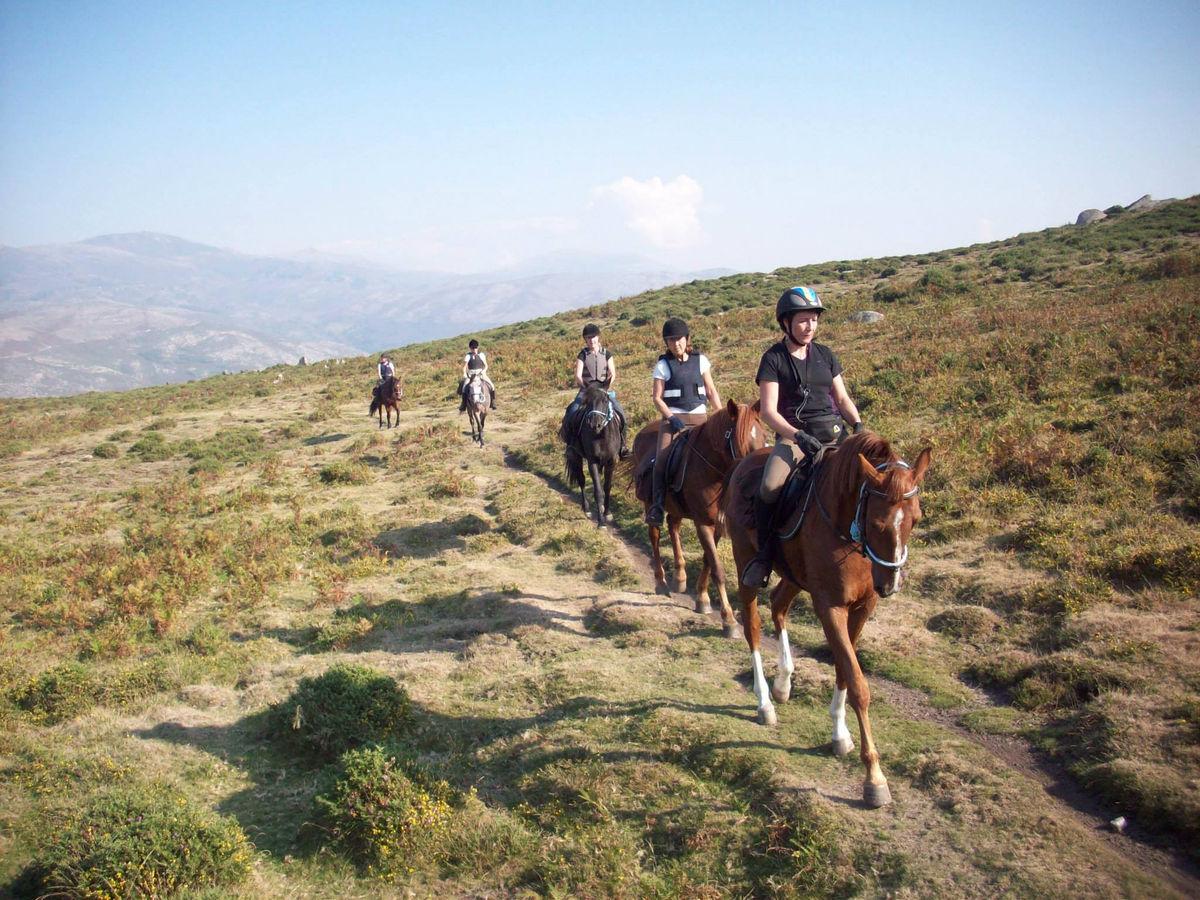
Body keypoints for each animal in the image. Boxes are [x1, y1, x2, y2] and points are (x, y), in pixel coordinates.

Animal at [561, 388, 619, 528]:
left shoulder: (611, 462)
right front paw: (601, 522)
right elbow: (598, 491)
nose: (594, 424)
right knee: (581, 480)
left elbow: (607, 487)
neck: (600, 436)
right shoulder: (592, 462)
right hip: (575, 456)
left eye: (605, 401)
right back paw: (586, 509)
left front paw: (607, 513)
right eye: (588, 402)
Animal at [628, 400, 768, 633]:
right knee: (655, 536)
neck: (714, 474)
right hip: (650, 503)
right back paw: (662, 582)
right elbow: (717, 568)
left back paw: (680, 576)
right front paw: (728, 618)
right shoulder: (702, 523)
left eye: (764, 435)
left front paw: (702, 598)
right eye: (741, 439)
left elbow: (707, 561)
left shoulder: (716, 524)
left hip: (676, 507)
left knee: (673, 526)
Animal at [720, 432, 926, 811]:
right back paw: (764, 701)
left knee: (779, 605)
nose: (890, 583)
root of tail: (745, 462)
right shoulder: (830, 607)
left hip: (795, 576)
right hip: (746, 568)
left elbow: (845, 669)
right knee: (753, 627)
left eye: (915, 519)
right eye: (877, 522)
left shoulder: (862, 608)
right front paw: (874, 778)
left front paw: (840, 734)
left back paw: (784, 682)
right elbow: (858, 684)